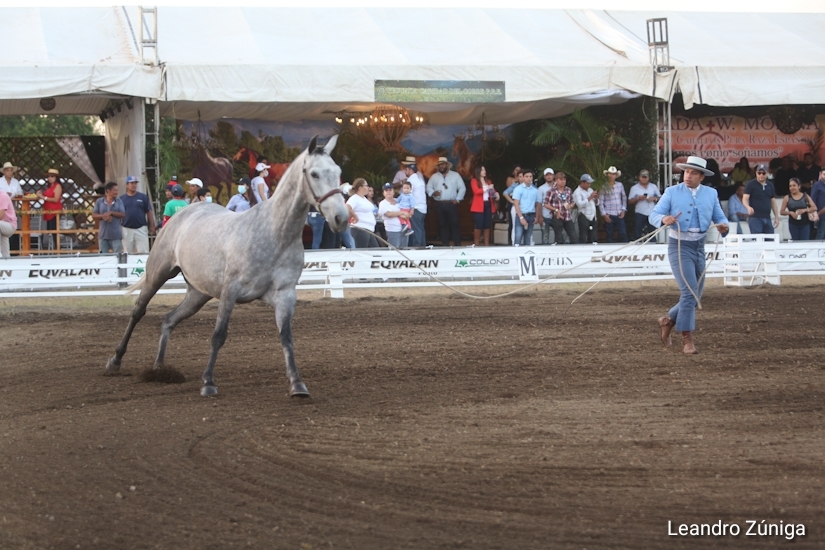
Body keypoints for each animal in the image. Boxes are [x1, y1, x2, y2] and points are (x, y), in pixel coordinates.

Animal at [105, 136, 348, 398]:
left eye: (338, 172)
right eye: (314, 174)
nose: (341, 219)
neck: (275, 234)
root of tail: (182, 213)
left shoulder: (284, 295)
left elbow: (286, 337)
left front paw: (297, 384)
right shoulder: (230, 291)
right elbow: (219, 335)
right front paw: (208, 382)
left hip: (198, 294)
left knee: (169, 320)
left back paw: (159, 368)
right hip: (157, 274)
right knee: (138, 311)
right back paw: (115, 361)